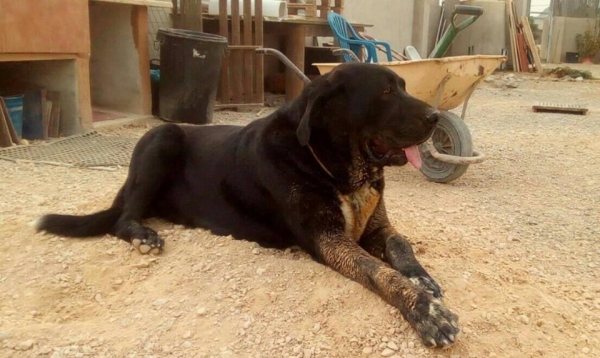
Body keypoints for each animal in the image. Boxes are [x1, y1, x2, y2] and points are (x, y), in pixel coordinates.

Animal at [34, 63, 460, 348]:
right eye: (385, 93)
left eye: (403, 86)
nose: (436, 116)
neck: (335, 166)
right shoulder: (328, 239)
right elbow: (379, 272)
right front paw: (425, 311)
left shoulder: (376, 226)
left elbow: (400, 246)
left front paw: (421, 279)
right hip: (162, 137)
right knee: (122, 218)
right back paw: (143, 234)